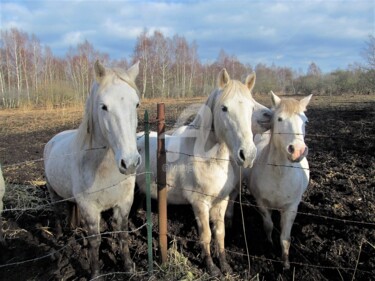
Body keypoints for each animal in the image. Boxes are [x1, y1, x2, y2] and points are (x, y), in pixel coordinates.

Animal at [44, 60, 141, 276]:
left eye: (137, 104)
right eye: (103, 106)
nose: (130, 163)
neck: (104, 169)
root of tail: (53, 140)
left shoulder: (124, 202)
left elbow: (122, 235)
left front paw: (129, 267)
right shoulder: (89, 208)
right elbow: (94, 242)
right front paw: (96, 273)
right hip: (52, 191)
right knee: (56, 211)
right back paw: (59, 235)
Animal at [137, 69, 272, 274]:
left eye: (251, 108)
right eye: (224, 108)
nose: (247, 155)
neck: (208, 160)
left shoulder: (221, 201)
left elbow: (220, 234)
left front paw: (224, 265)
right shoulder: (200, 204)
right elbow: (206, 235)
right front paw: (211, 266)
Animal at [250, 91, 312, 266]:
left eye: (305, 121)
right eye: (279, 119)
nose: (297, 150)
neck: (279, 174)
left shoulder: (291, 208)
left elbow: (285, 238)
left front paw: (285, 264)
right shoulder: (262, 203)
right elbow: (268, 226)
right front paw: (269, 244)